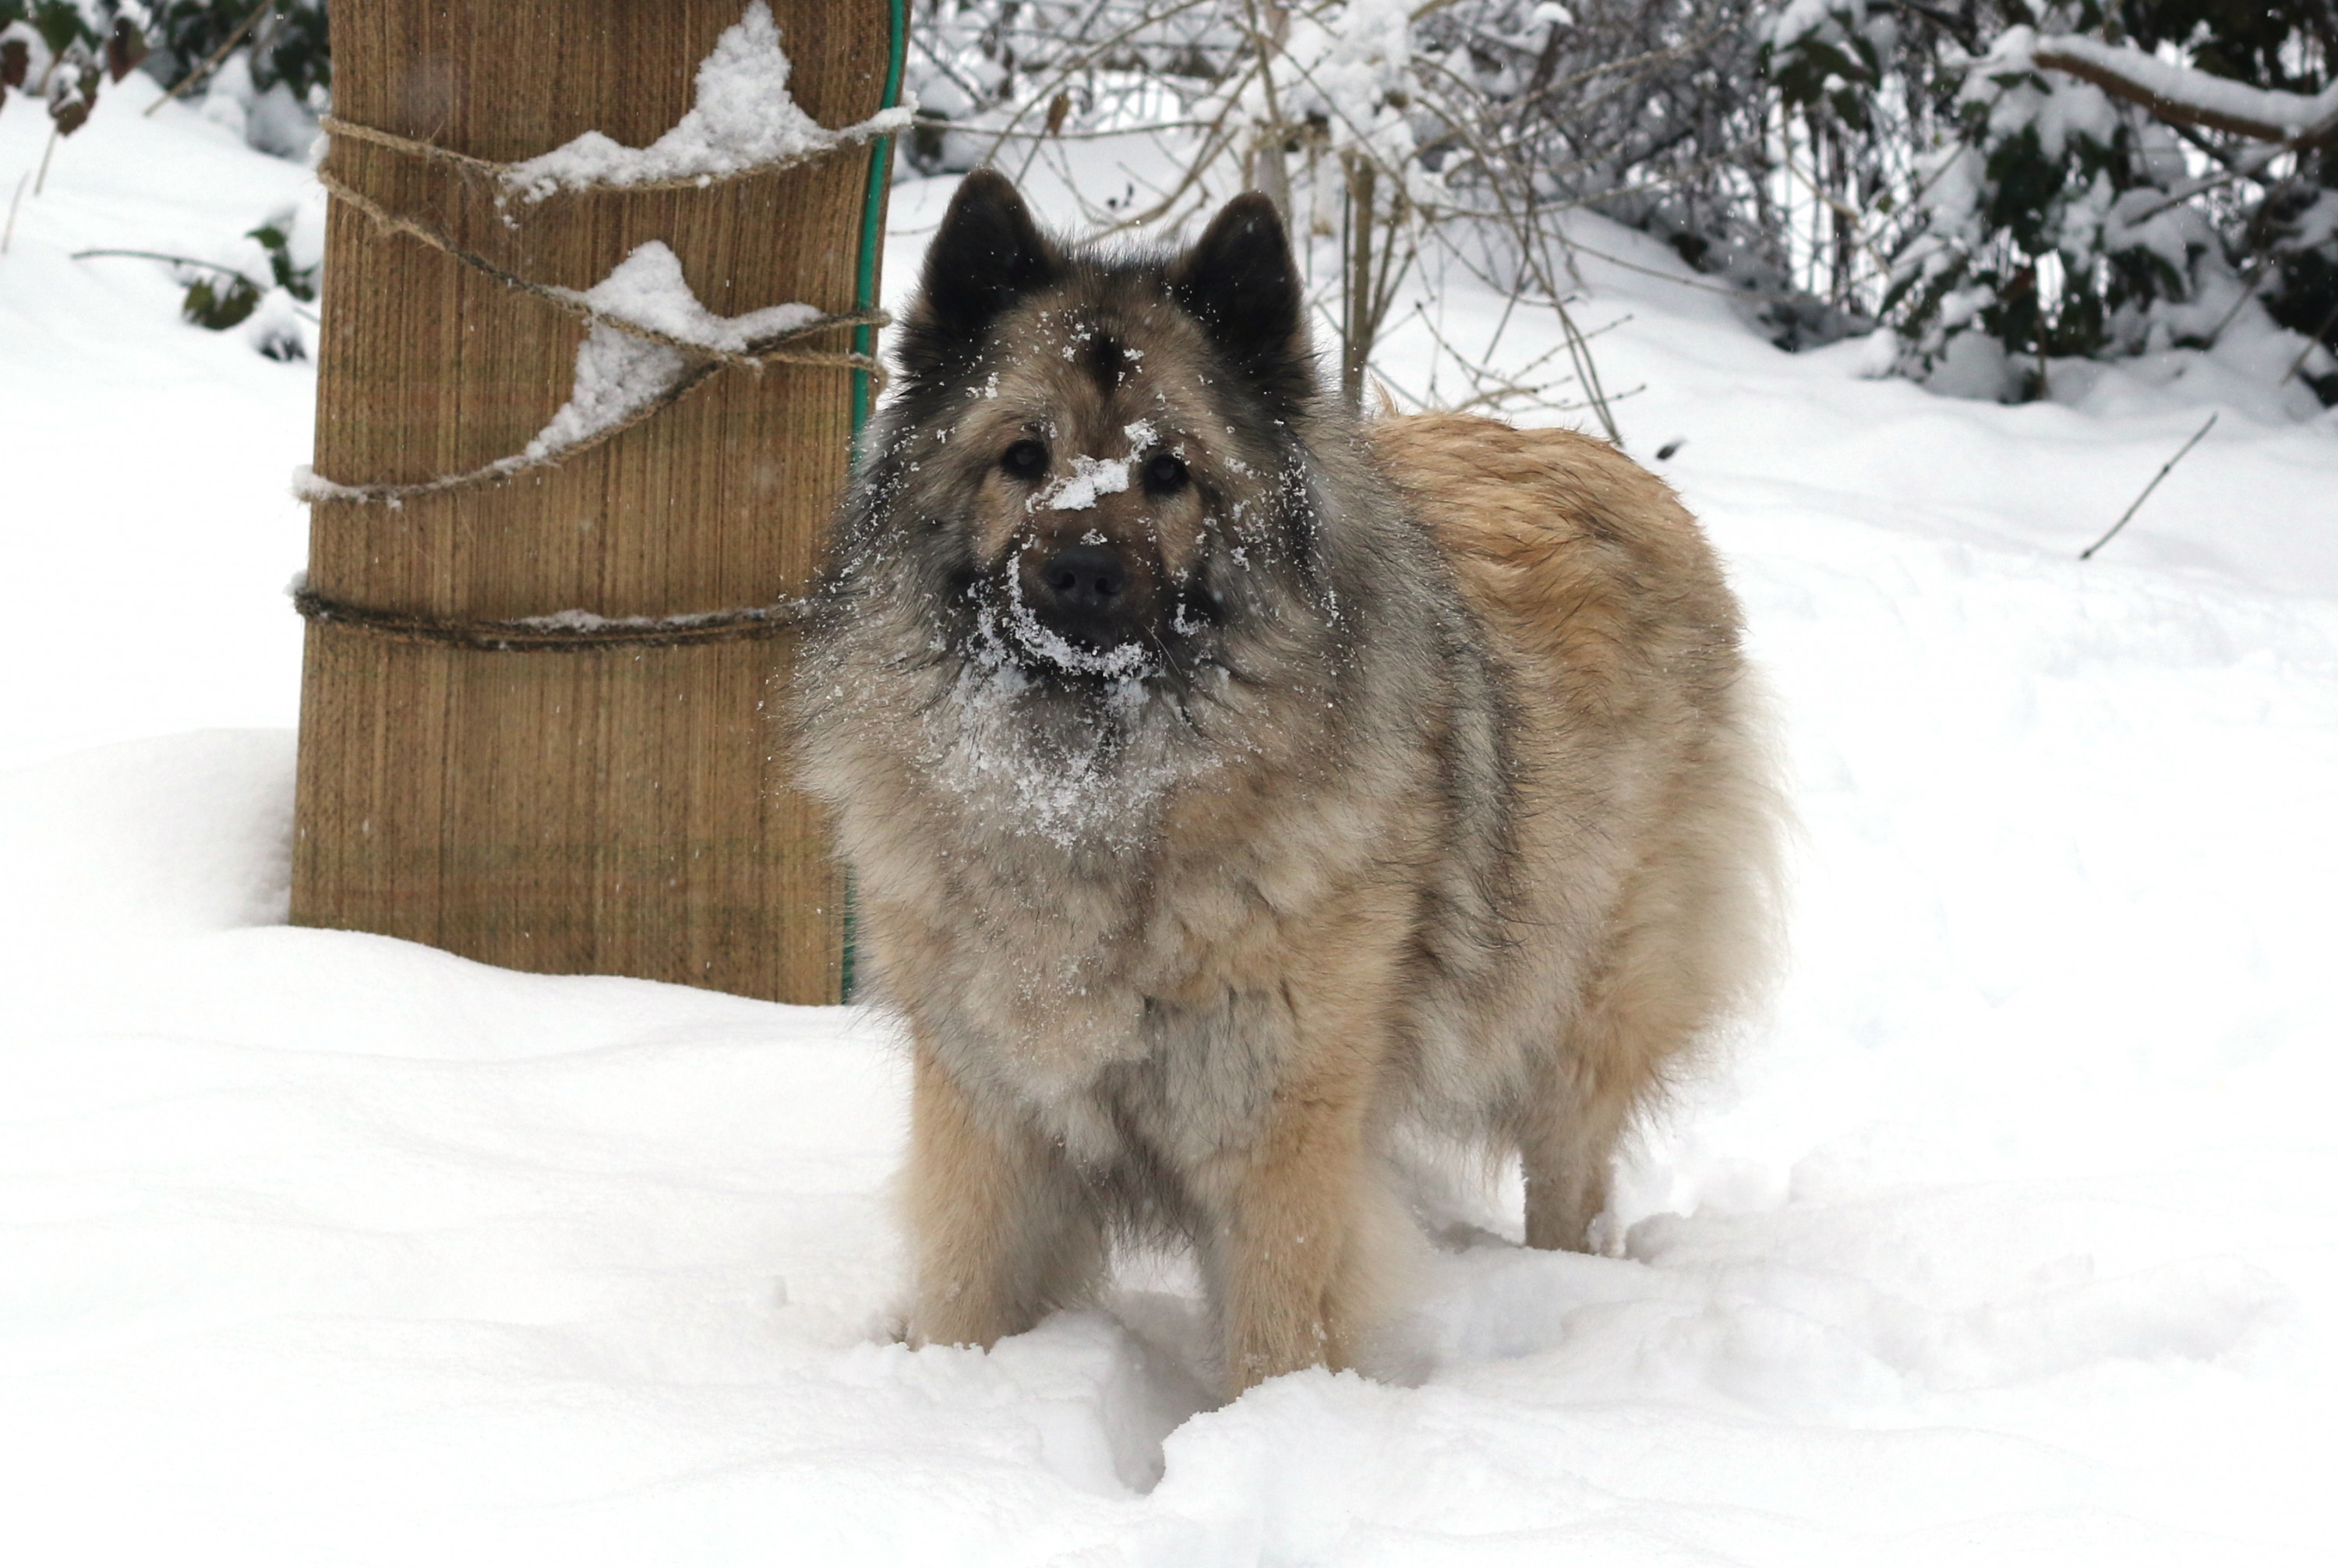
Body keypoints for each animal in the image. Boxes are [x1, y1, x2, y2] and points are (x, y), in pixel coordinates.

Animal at [786, 171, 1768, 1402]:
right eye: (1022, 455)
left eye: (1169, 471)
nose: (1079, 574)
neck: (1097, 791)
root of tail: (1615, 466)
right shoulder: (990, 1115)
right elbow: (966, 1296)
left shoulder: (1279, 1137)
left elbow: (1278, 1335)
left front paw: (1272, 1427)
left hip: (1579, 1002)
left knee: (1573, 1176)